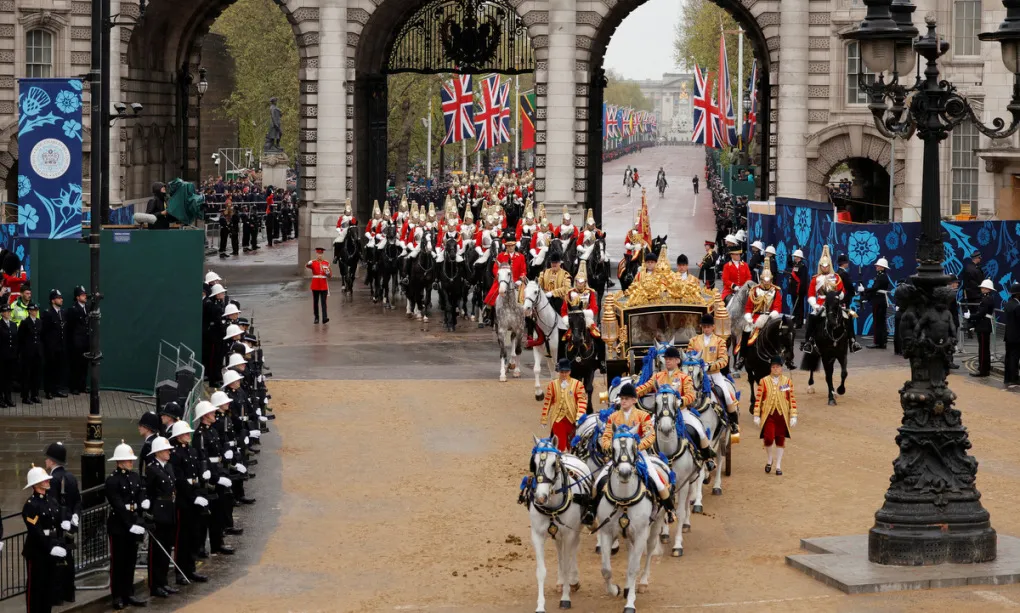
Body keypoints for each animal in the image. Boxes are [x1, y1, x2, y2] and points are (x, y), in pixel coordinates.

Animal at [526, 434, 591, 611]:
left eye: (553, 464)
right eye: (533, 463)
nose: (540, 497)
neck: (552, 507)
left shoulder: (569, 533)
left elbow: (568, 563)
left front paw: (565, 599)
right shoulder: (537, 536)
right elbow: (541, 571)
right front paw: (540, 605)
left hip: (575, 530)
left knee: (573, 550)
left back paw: (573, 581)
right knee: (560, 551)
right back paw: (561, 581)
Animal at [595, 428, 660, 607]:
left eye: (634, 447)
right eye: (613, 448)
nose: (625, 473)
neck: (624, 500)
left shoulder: (641, 534)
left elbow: (633, 569)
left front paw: (630, 603)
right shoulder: (606, 532)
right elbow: (605, 569)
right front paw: (615, 590)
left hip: (656, 525)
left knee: (649, 550)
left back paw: (642, 583)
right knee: (631, 554)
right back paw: (626, 588)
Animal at [652, 389, 701, 558]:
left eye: (674, 403)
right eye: (656, 403)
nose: (666, 428)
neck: (669, 454)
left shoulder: (683, 483)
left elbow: (679, 512)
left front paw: (678, 545)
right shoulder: (663, 485)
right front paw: (662, 536)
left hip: (691, 480)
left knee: (686, 502)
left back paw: (686, 523)